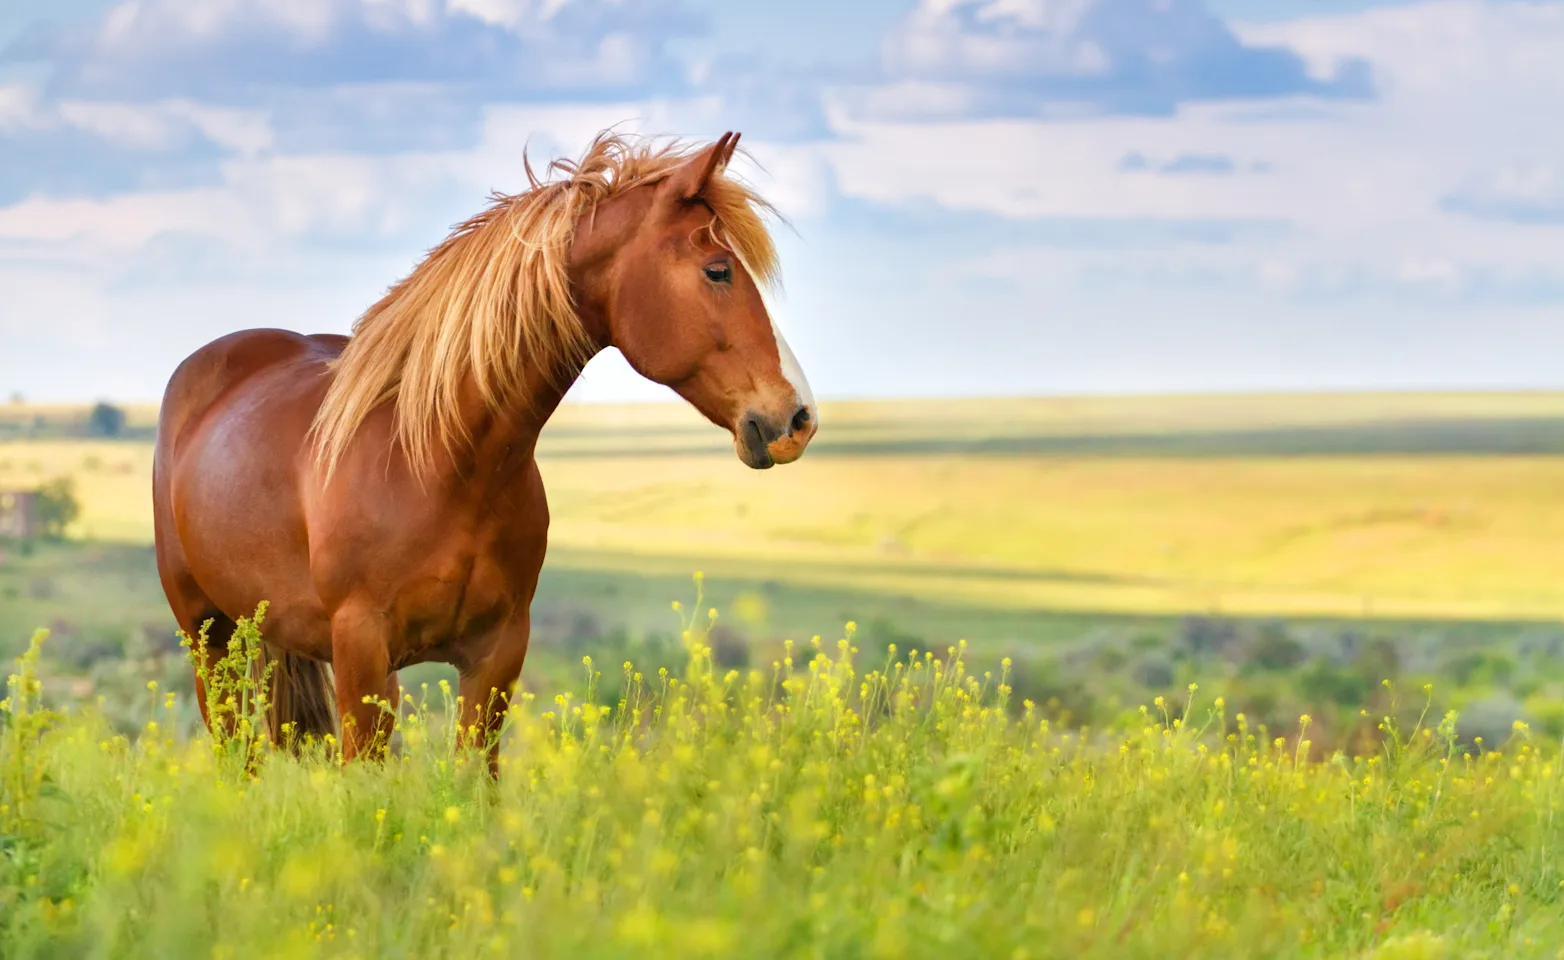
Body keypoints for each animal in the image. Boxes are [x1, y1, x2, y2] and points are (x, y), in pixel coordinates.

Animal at [151, 130, 817, 774]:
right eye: (718, 270)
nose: (798, 417)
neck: (440, 464)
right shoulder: (362, 654)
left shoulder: (496, 656)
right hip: (208, 639)